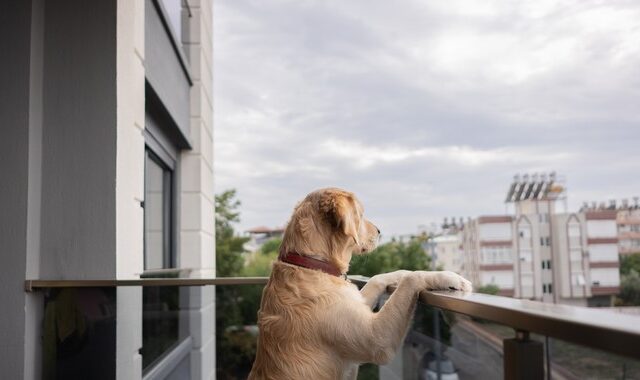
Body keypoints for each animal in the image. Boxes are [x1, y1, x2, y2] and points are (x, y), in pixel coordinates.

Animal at [248, 189, 472, 378]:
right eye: (361, 214)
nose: (380, 231)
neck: (310, 264)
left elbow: (378, 277)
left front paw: (403, 272)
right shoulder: (377, 339)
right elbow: (413, 278)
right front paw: (450, 277)